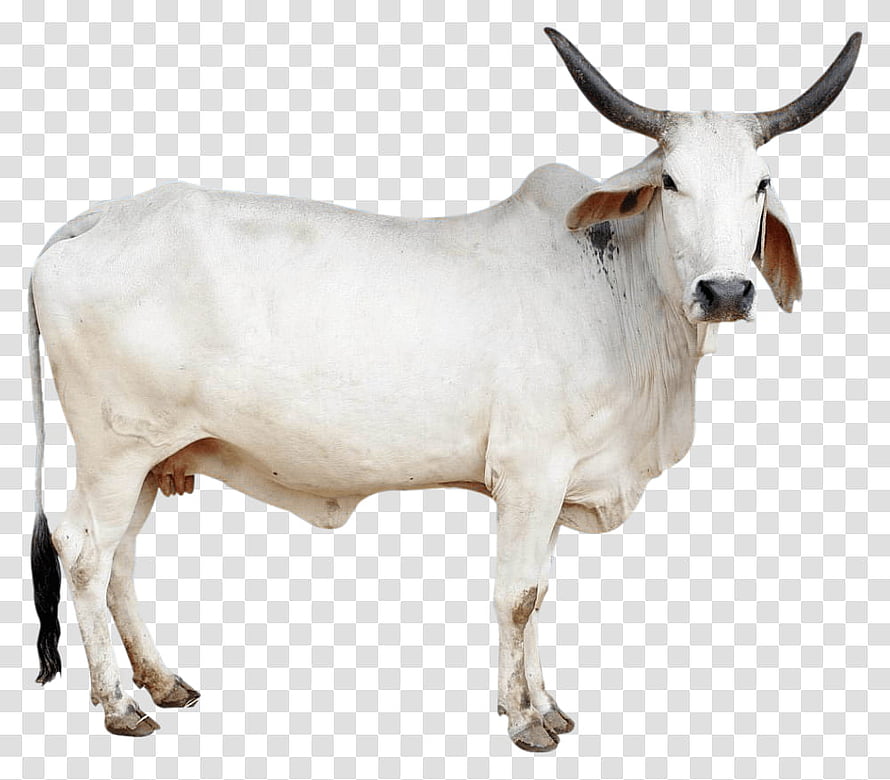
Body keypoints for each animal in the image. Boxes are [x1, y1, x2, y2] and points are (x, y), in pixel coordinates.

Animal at [28, 28, 860, 752]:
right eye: (671, 180)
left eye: (760, 183)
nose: (725, 291)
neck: (621, 293)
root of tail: (93, 219)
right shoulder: (529, 474)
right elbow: (518, 594)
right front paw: (525, 720)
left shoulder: (555, 488)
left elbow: (538, 594)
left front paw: (543, 702)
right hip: (112, 452)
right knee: (84, 554)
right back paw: (119, 704)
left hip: (150, 460)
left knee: (121, 561)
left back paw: (160, 681)